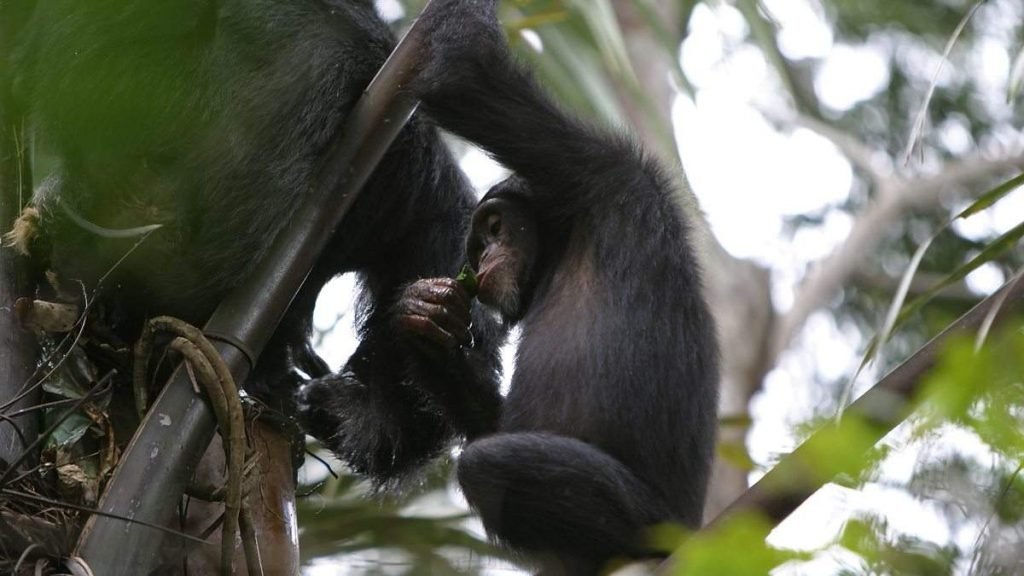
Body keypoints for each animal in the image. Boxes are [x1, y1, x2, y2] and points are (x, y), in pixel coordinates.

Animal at [368, 0, 720, 569]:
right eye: (475, 247)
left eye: (494, 226)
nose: (484, 255)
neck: (562, 241)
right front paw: (427, 327)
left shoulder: (604, 170)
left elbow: (469, 75)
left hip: (655, 523)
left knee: (488, 466)